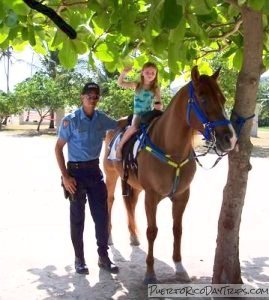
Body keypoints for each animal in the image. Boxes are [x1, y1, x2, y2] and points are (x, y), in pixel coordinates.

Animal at [101, 65, 236, 284]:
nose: (230, 138)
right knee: (109, 201)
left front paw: (179, 268)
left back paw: (133, 237)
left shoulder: (182, 196)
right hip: (111, 176)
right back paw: (109, 237)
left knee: (131, 204)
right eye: (203, 98)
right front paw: (150, 272)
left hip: (136, 186)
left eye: (223, 99)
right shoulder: (151, 196)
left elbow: (177, 230)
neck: (170, 147)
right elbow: (152, 231)